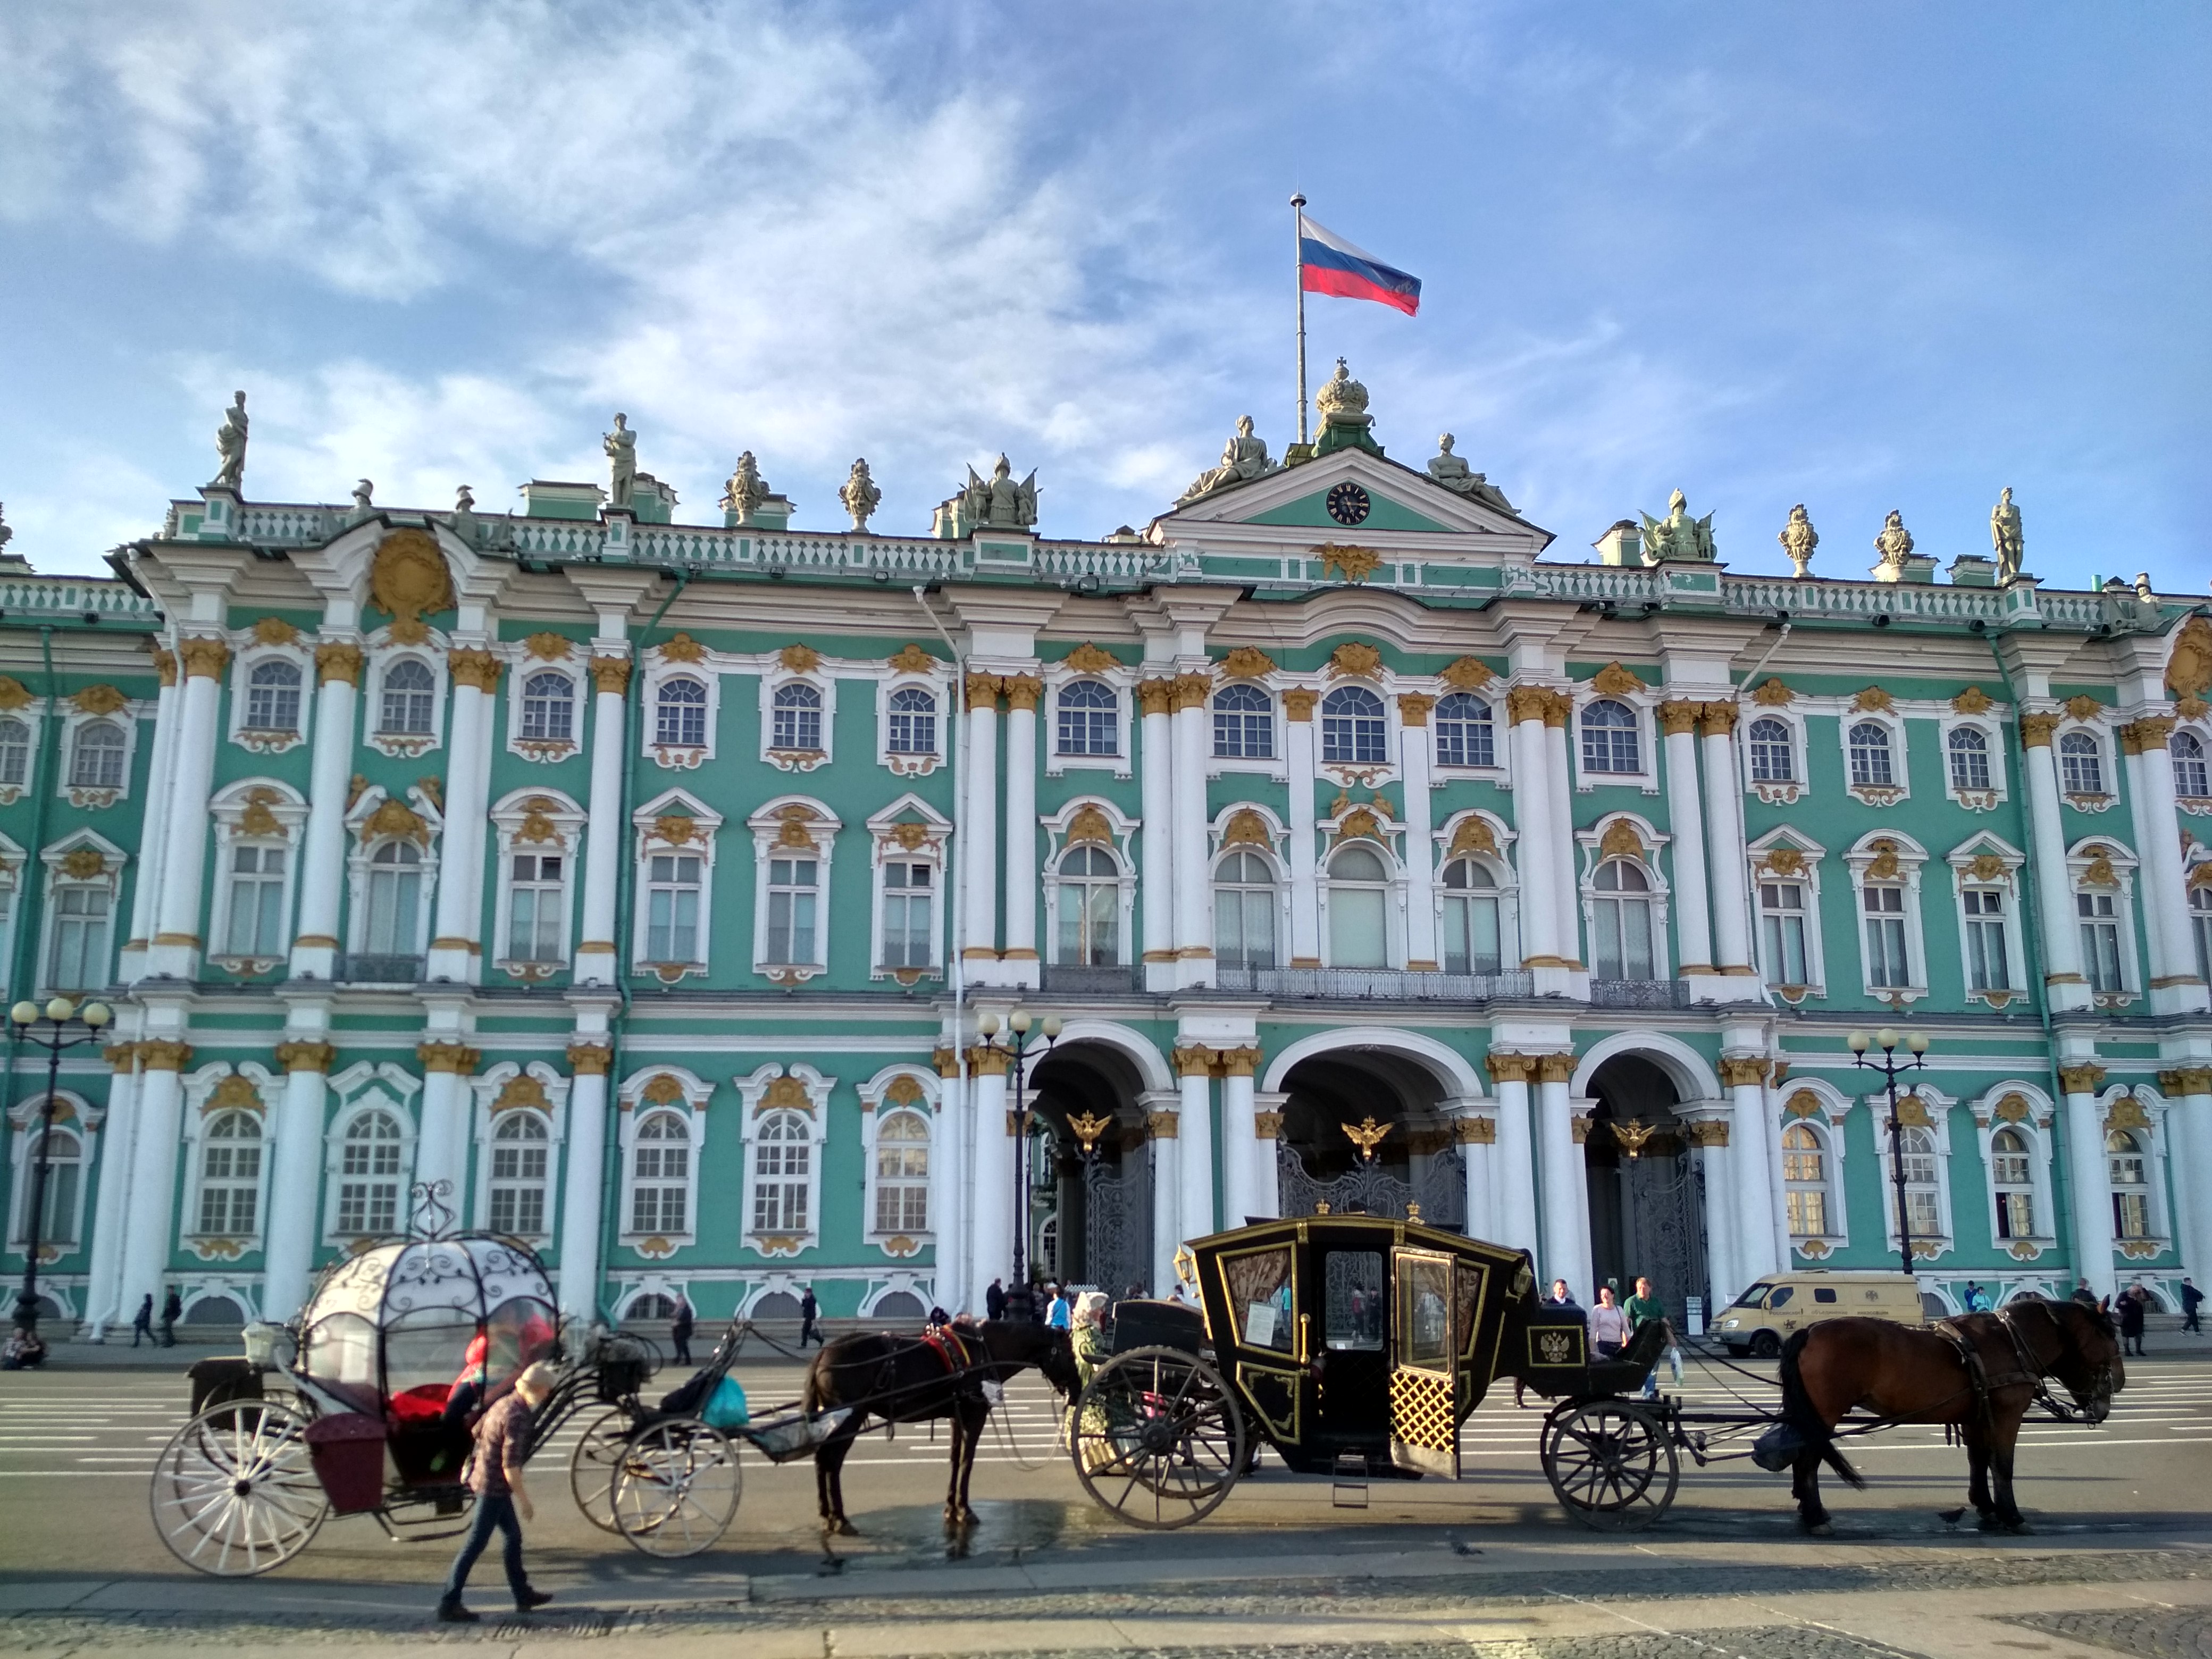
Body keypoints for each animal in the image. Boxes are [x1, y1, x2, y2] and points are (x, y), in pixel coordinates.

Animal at [805, 1318, 1079, 1539]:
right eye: (1070, 1355)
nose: (1077, 1391)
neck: (983, 1352)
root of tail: (823, 1353)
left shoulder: (956, 1418)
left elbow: (955, 1459)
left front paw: (951, 1508)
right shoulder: (975, 1416)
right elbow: (967, 1461)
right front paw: (965, 1510)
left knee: (822, 1459)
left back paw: (826, 1514)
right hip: (849, 1419)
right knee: (832, 1462)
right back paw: (840, 1519)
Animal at [1770, 1301, 2114, 1548]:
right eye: (2111, 1344)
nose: (2108, 1399)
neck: (2008, 1341)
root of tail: (1810, 1331)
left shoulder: (1976, 1416)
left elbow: (1979, 1460)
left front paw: (1987, 1508)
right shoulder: (2007, 1415)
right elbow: (2002, 1464)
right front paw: (2012, 1516)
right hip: (1824, 1416)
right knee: (1807, 1462)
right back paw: (1815, 1517)